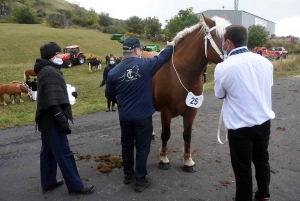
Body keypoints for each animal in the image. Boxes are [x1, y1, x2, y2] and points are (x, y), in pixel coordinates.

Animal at [142, 14, 231, 172]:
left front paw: (188, 161)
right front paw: (163, 159)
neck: (183, 73)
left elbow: (187, 135)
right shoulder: (166, 111)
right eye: (221, 36)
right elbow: (166, 134)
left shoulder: (191, 111)